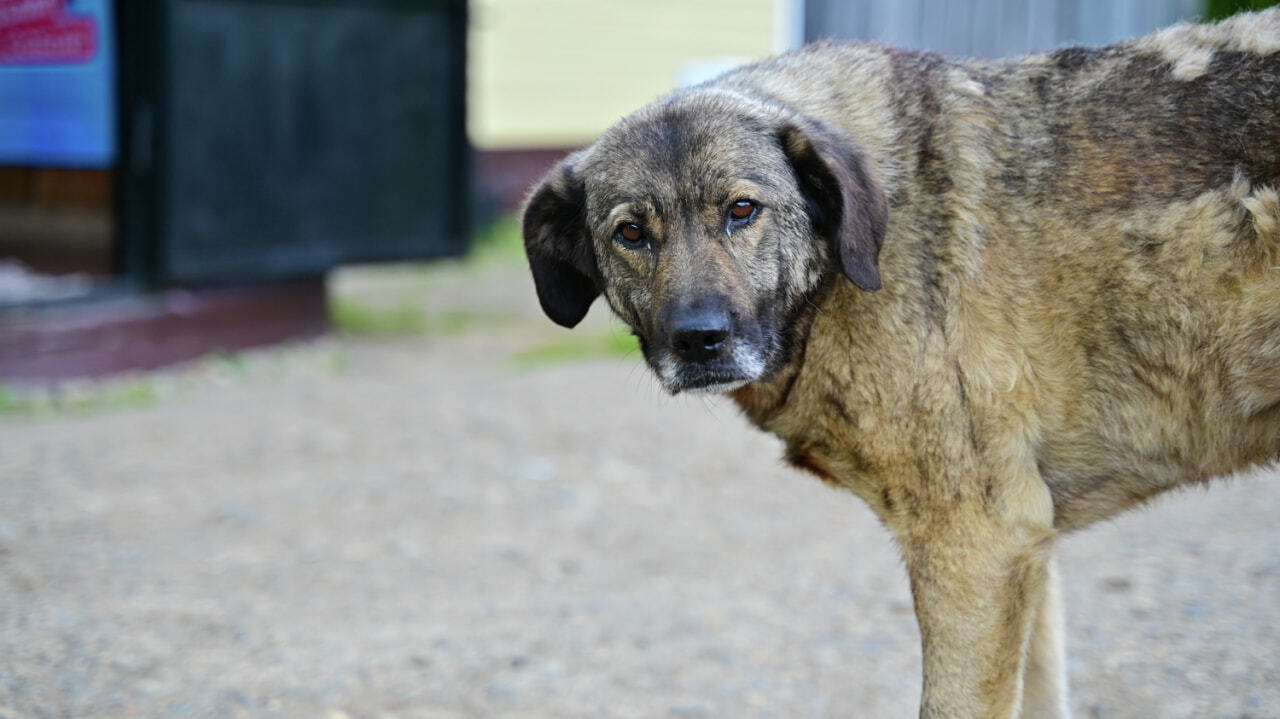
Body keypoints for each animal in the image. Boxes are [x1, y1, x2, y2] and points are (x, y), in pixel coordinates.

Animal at [519, 11, 1280, 716]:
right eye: (630, 233)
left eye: (741, 209)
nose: (697, 339)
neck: (852, 260)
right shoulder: (1029, 545)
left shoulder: (978, 548)